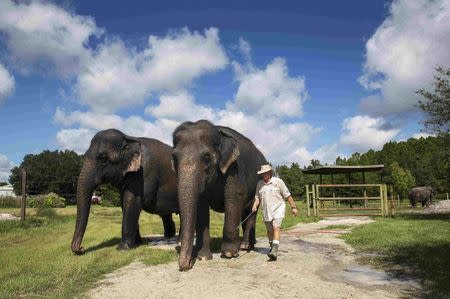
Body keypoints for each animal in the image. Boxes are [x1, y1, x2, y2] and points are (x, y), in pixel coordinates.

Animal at [171, 120, 266, 272]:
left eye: (206, 157)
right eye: (174, 157)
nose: (186, 266)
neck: (218, 132)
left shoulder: (235, 168)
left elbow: (234, 198)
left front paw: (229, 254)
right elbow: (201, 206)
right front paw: (202, 257)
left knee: (251, 212)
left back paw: (245, 246)